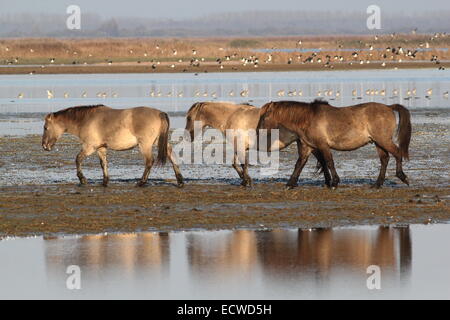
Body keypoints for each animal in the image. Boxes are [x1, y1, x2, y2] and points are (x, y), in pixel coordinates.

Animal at [41, 104, 184, 186]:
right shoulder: (101, 148)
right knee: (171, 155)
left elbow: (78, 159)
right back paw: (180, 181)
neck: (86, 120)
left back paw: (141, 182)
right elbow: (103, 163)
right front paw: (105, 181)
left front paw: (82, 179)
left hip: (145, 145)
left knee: (149, 161)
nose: (44, 146)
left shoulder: (90, 147)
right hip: (158, 142)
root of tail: (160, 113)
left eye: (45, 127)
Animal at [185, 102, 330, 188]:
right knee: (320, 161)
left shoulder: (240, 147)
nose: (187, 135)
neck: (231, 117)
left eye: (188, 118)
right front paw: (244, 179)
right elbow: (235, 164)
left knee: (305, 162)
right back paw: (327, 182)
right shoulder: (240, 147)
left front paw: (246, 181)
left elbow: (243, 164)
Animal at [256, 100, 412, 189]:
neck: (308, 118)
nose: (257, 130)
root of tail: (388, 107)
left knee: (397, 153)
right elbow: (299, 164)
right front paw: (290, 184)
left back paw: (402, 177)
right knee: (385, 159)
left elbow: (329, 162)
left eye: (264, 116)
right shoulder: (308, 147)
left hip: (383, 140)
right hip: (378, 142)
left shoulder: (323, 145)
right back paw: (377, 184)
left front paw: (334, 182)